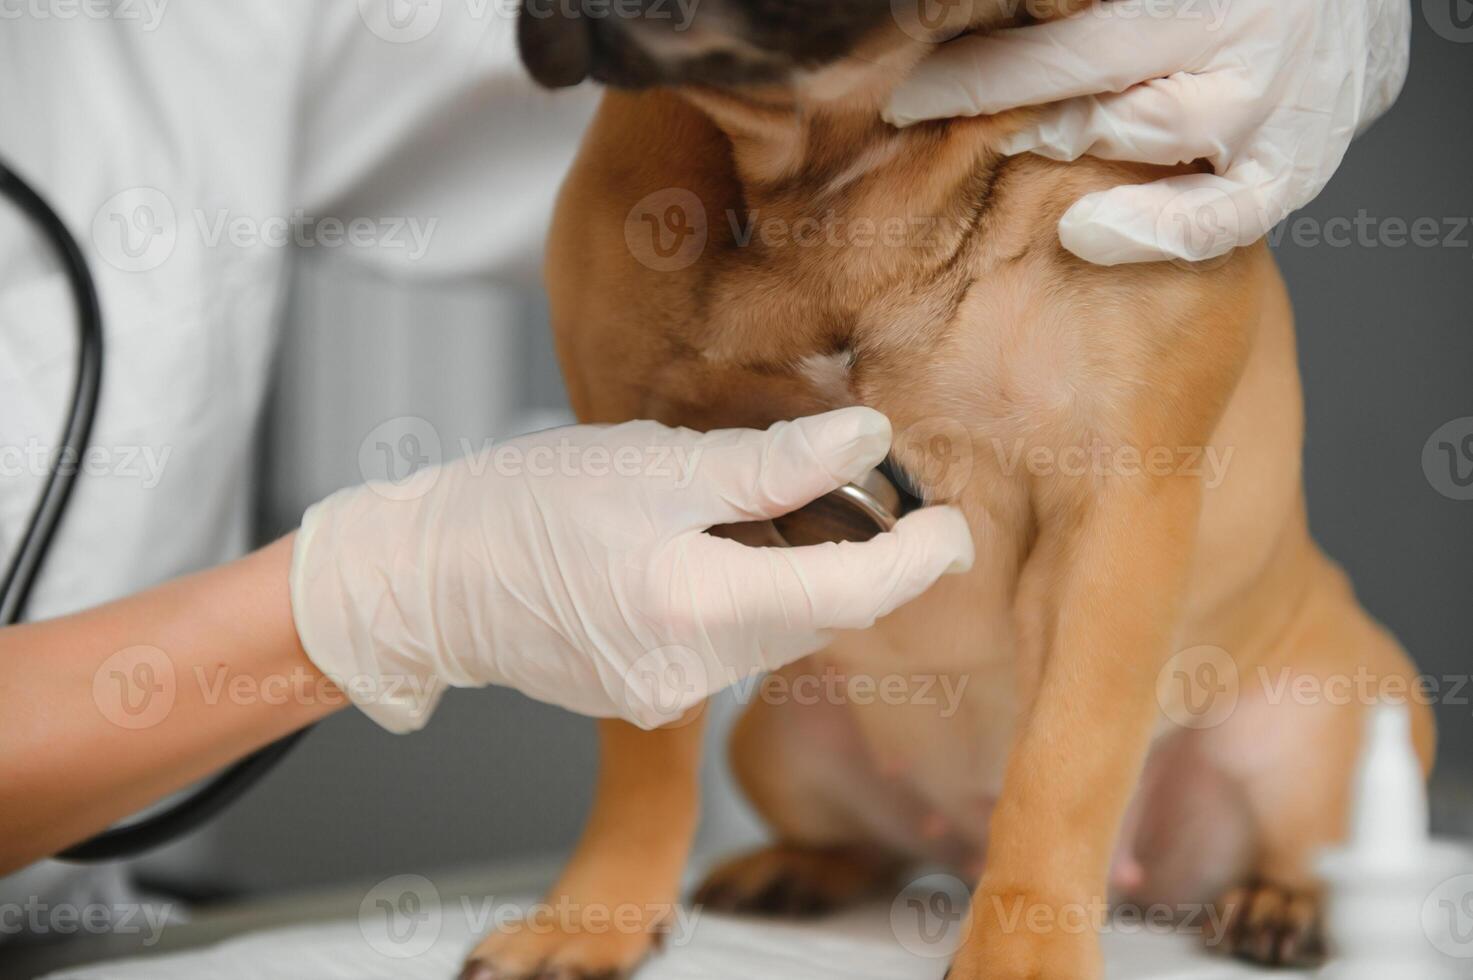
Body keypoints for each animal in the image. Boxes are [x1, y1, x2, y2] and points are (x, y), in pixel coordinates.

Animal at [462, 3, 1437, 972]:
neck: (849, 159)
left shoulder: (1111, 524)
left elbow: (1062, 767)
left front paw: (1023, 953)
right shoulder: (639, 507)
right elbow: (645, 756)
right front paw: (593, 916)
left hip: (1327, 728)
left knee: (1309, 849)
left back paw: (1280, 904)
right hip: (776, 740)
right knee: (868, 846)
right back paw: (794, 868)